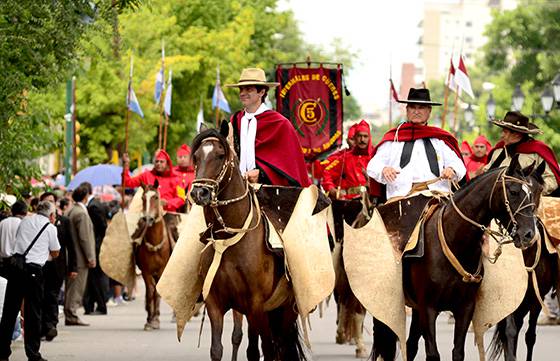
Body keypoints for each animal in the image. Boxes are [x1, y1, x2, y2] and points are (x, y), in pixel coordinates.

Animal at [132, 181, 174, 330]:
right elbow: (150, 292)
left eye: (156, 197)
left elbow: (157, 292)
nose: (148, 218)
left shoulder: (161, 271)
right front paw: (150, 320)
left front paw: (155, 319)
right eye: (143, 198)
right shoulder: (146, 271)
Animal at [191, 126, 306, 360]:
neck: (228, 242)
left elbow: (267, 349)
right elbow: (217, 350)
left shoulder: (256, 306)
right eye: (196, 157)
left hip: (286, 308)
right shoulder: (215, 304)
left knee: (279, 345)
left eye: (220, 155)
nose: (200, 192)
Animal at [374, 155, 544, 360]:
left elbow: (458, 351)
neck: (455, 240)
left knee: (411, 344)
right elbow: (433, 353)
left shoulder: (464, 308)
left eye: (534, 193)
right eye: (513, 191)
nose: (529, 235)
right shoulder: (428, 308)